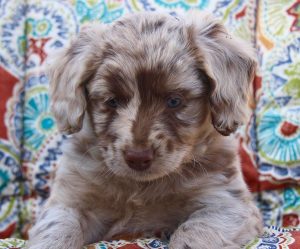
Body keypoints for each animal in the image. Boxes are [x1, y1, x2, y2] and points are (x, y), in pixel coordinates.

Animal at [27, 11, 262, 249]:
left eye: (174, 101)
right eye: (112, 101)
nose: (137, 158)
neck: (142, 187)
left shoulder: (225, 202)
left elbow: (195, 232)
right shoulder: (70, 200)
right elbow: (58, 228)